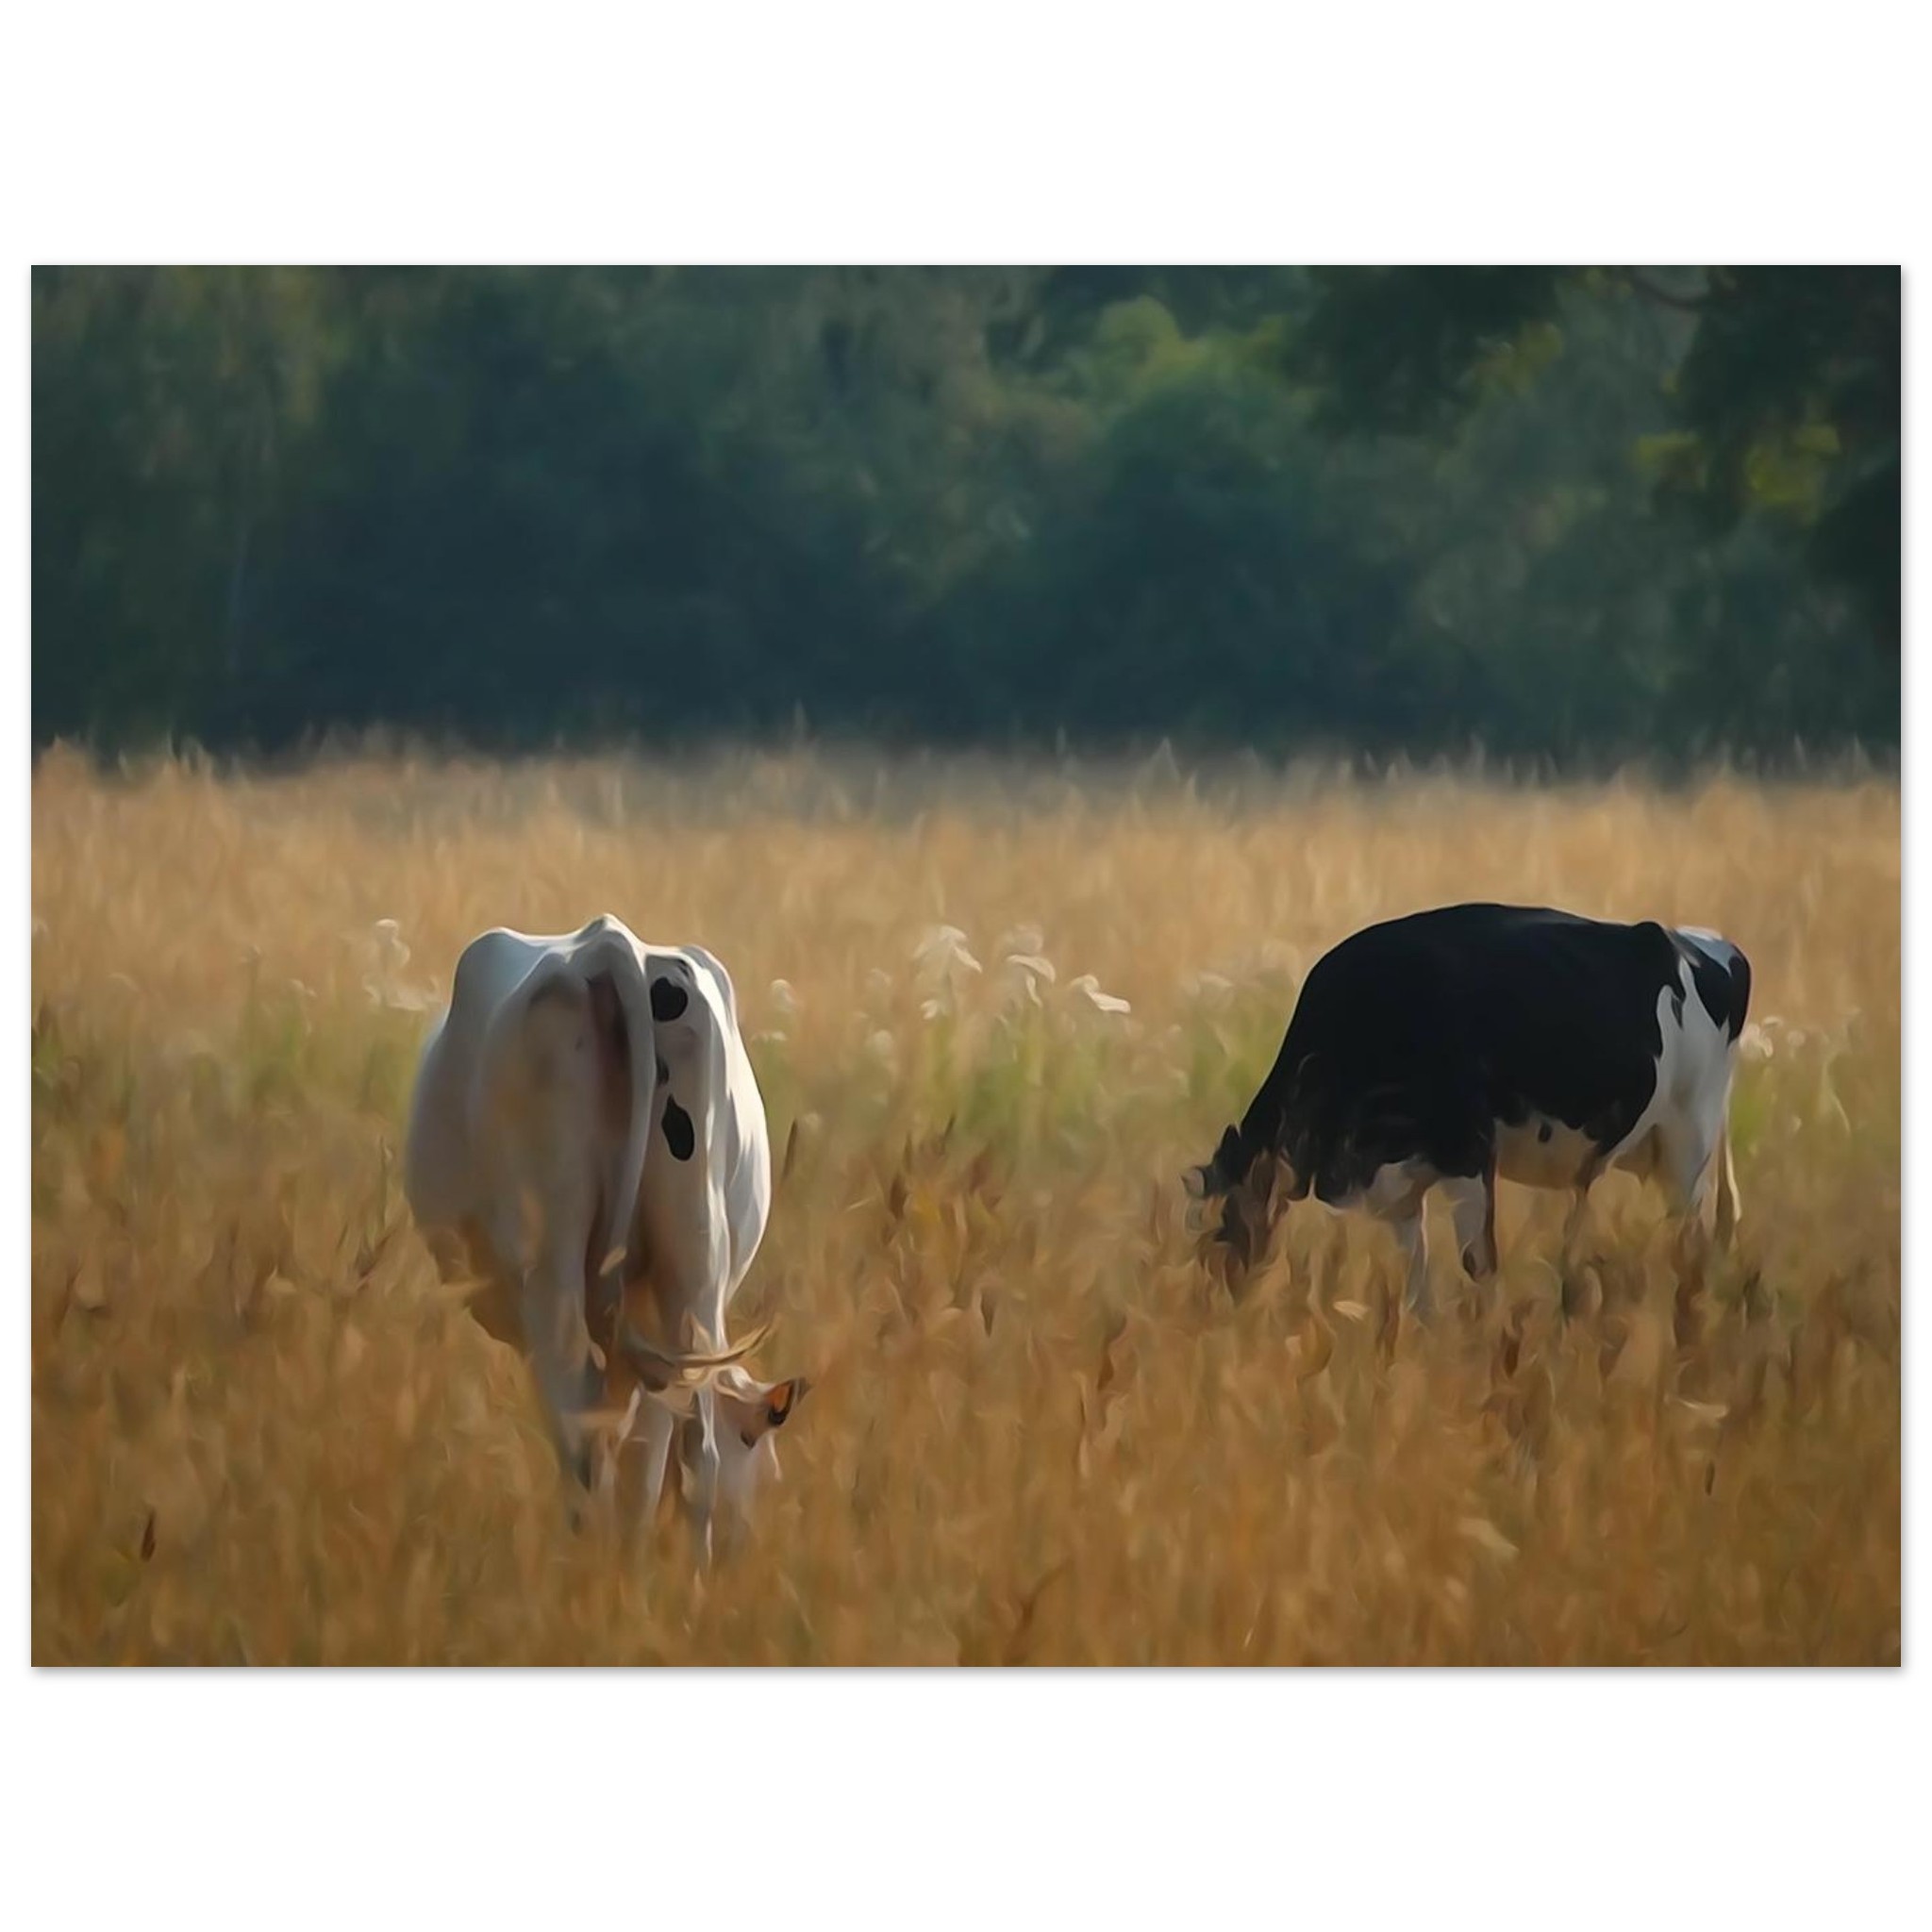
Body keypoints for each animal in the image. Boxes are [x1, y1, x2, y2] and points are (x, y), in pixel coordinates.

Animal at [403, 915, 808, 1560]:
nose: (743, 1551)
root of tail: (611, 945)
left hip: (554, 1274)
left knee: (583, 1434)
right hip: (690, 1273)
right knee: (691, 1448)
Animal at [1185, 904, 1751, 1314]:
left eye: (1218, 1237)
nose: (1215, 1320)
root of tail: (1700, 941)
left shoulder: (1469, 1154)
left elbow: (1479, 1265)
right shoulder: (1399, 1189)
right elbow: (1415, 1287)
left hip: (1689, 1144)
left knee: (1690, 1246)